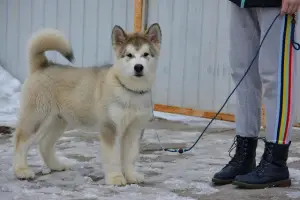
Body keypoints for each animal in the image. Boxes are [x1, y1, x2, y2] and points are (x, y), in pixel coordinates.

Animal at [12, 22, 162, 185]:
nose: (138, 67)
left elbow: (130, 157)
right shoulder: (110, 128)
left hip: (58, 121)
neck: (130, 91)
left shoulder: (134, 130)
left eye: (146, 54)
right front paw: (115, 178)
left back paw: (57, 165)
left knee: (45, 144)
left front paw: (131, 176)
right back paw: (22, 171)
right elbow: (113, 157)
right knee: (21, 141)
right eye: (129, 55)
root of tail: (44, 65)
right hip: (37, 118)